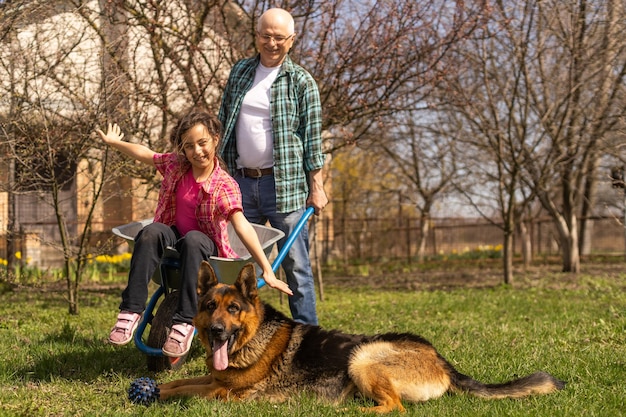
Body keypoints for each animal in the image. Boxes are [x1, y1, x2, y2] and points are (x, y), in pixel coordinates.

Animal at [157, 262, 564, 412]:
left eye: (234, 309)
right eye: (210, 306)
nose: (216, 331)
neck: (253, 339)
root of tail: (440, 358)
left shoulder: (224, 393)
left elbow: (188, 391)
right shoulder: (214, 378)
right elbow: (179, 383)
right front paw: (154, 388)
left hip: (362, 357)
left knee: (395, 407)